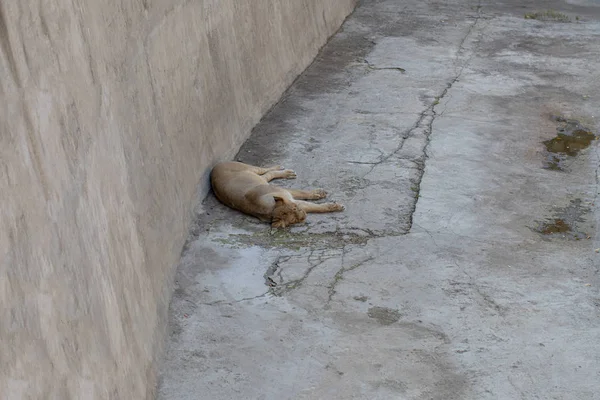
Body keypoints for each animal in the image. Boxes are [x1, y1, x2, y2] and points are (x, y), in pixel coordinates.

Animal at [211, 160, 344, 228]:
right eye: (293, 220)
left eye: (295, 209)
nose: (303, 216)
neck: (270, 210)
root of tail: (212, 170)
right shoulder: (291, 198)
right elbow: (315, 207)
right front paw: (333, 205)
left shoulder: (286, 193)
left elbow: (304, 194)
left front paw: (320, 194)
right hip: (259, 179)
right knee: (268, 175)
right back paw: (287, 173)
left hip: (252, 170)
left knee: (266, 170)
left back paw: (283, 170)